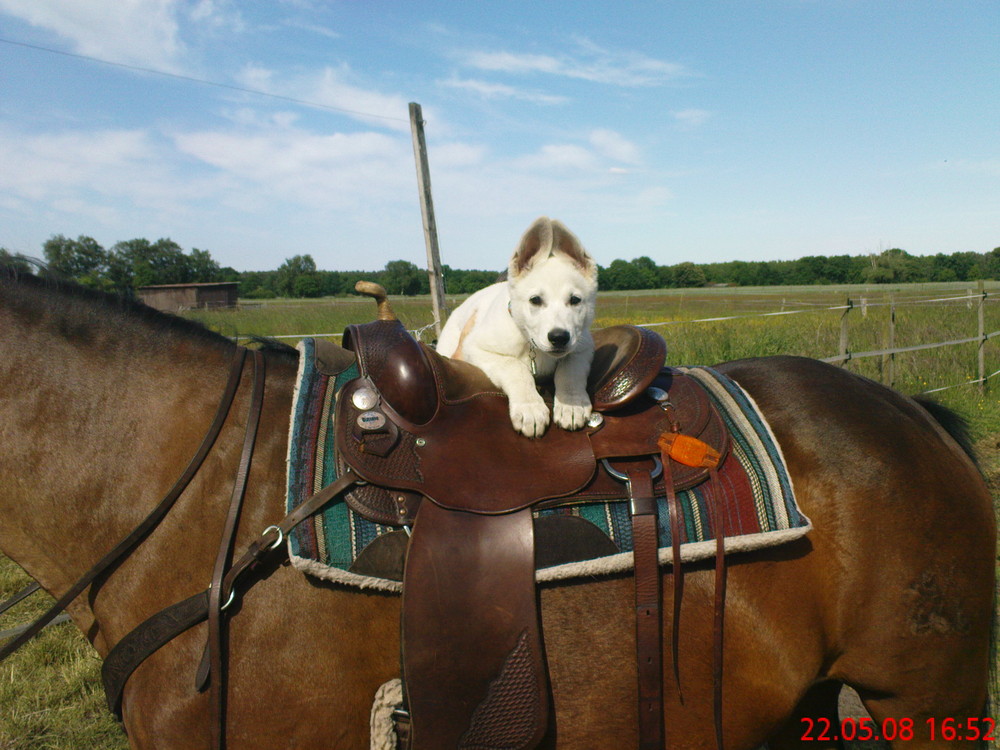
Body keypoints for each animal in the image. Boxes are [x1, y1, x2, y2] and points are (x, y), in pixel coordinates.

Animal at [436, 217, 592, 438]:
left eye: (575, 300)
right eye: (535, 300)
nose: (559, 337)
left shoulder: (583, 347)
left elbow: (570, 370)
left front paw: (571, 404)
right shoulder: (477, 348)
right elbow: (515, 368)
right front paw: (530, 408)